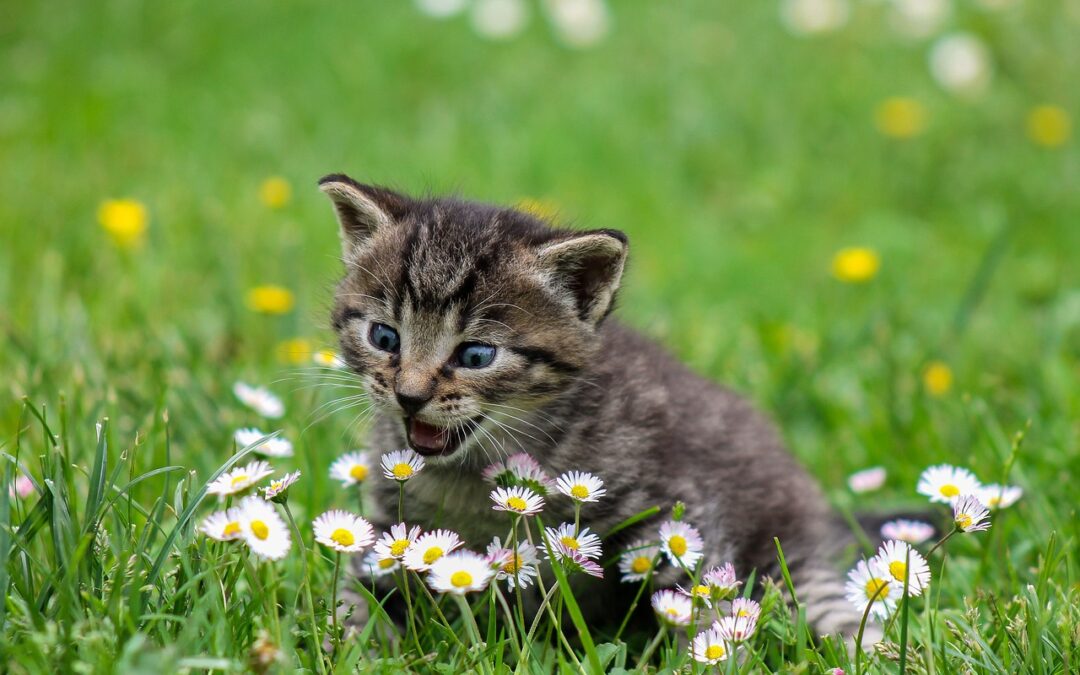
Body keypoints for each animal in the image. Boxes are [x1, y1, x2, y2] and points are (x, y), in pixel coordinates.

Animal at [315, 173, 864, 635]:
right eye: (385, 337)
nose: (409, 395)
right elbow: (358, 594)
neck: (472, 474)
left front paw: (709, 652)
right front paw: (354, 641)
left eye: (475, 355)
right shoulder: (391, 529)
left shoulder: (679, 511)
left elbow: (699, 598)